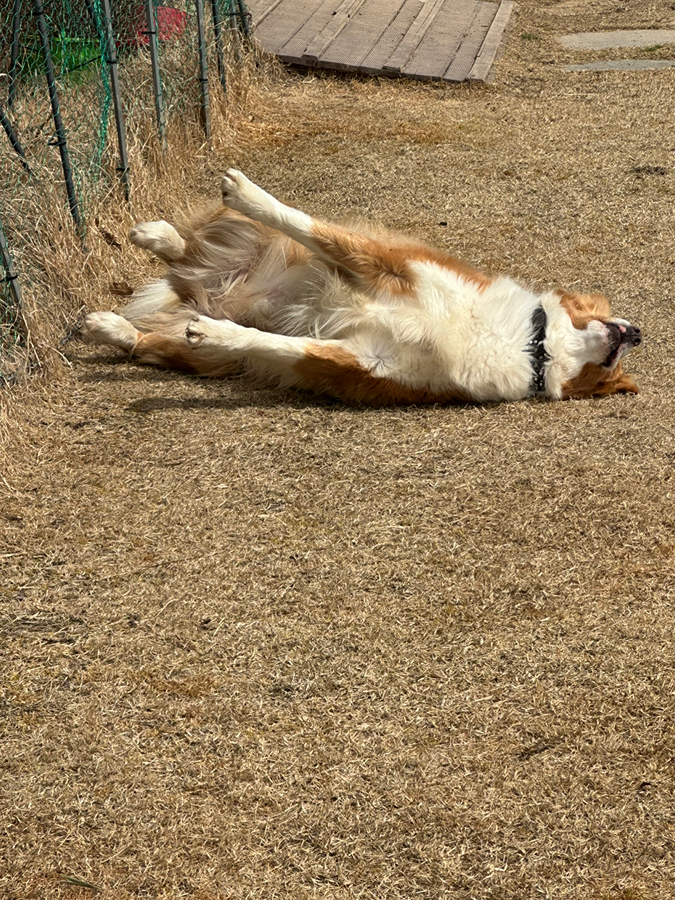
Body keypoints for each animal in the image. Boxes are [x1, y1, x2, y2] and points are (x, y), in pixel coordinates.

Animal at [86, 171, 644, 402]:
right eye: (601, 312)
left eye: (612, 375)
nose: (637, 333)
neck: (532, 345)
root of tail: (199, 288)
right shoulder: (386, 263)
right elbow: (306, 224)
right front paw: (248, 194)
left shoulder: (365, 362)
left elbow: (275, 344)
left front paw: (218, 332)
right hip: (263, 251)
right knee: (192, 249)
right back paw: (156, 235)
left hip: (209, 357)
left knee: (154, 336)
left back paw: (112, 326)